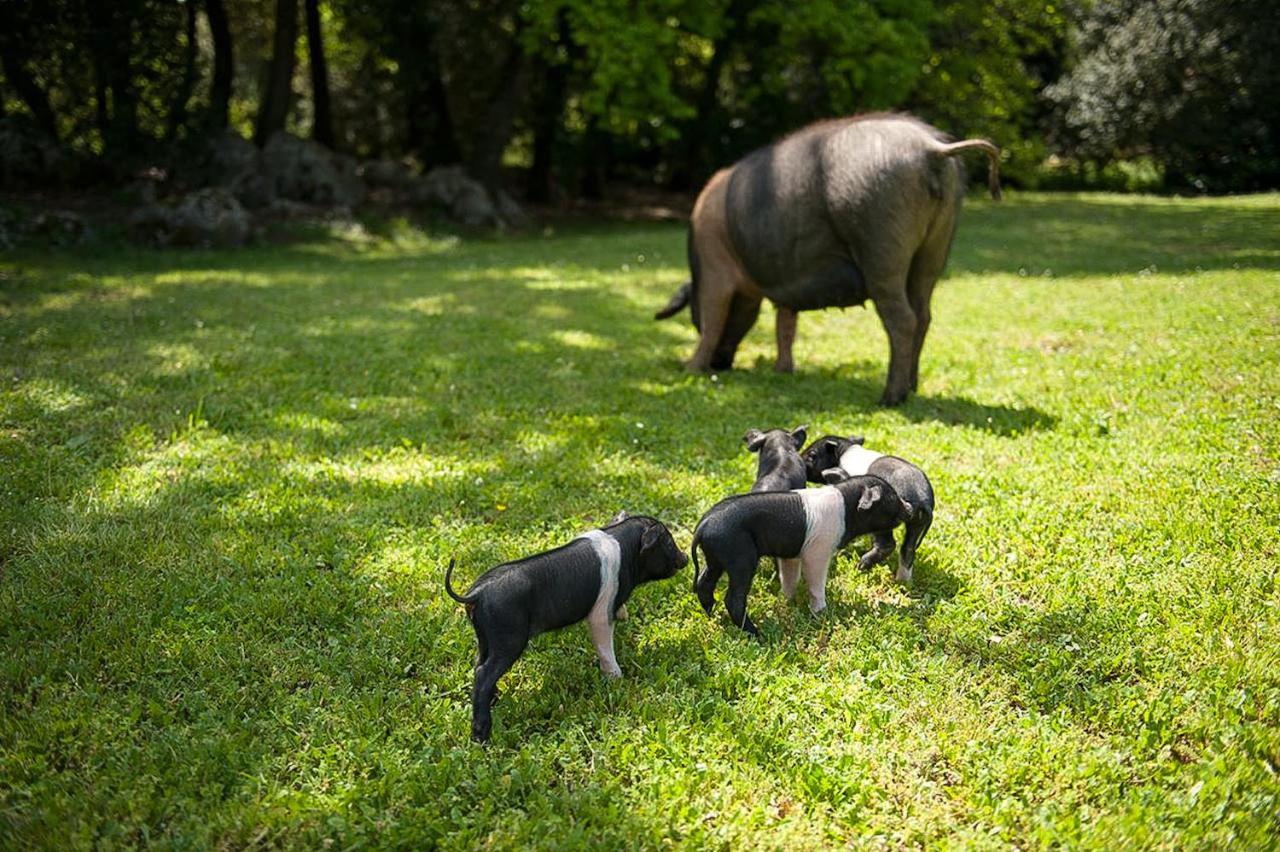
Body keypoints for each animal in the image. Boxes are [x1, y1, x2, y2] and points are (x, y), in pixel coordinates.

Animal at [660, 113, 998, 404]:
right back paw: (912, 389)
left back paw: (890, 398)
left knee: (903, 319)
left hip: (881, 245)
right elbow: (785, 324)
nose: (721, 364)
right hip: (936, 245)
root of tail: (932, 149)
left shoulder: (715, 269)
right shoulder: (785, 286)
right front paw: (782, 371)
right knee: (924, 313)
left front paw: (690, 368)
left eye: (692, 312)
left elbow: (714, 319)